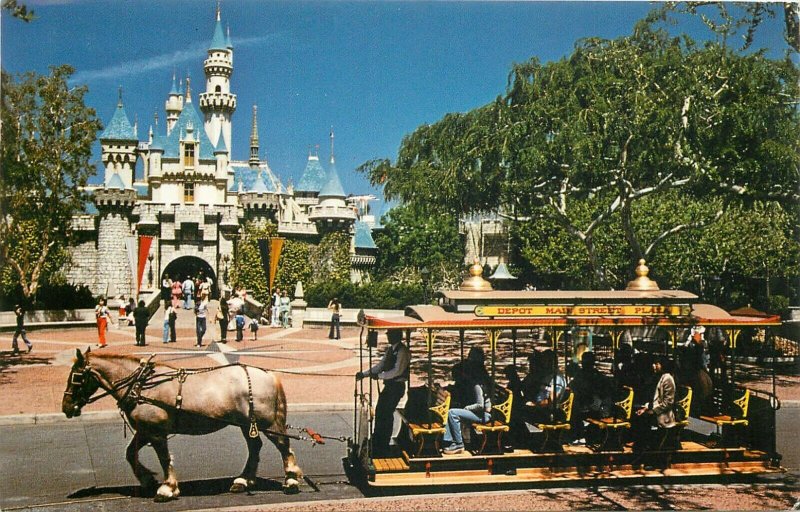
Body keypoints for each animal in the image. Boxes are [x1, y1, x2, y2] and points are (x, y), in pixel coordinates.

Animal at [61, 348, 302, 500]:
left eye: (76, 377)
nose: (66, 407)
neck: (141, 385)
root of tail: (267, 374)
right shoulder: (145, 430)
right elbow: (130, 453)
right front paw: (147, 479)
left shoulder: (156, 432)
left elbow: (164, 458)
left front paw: (167, 488)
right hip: (246, 423)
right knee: (255, 447)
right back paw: (244, 480)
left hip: (267, 422)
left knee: (284, 446)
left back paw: (291, 480)